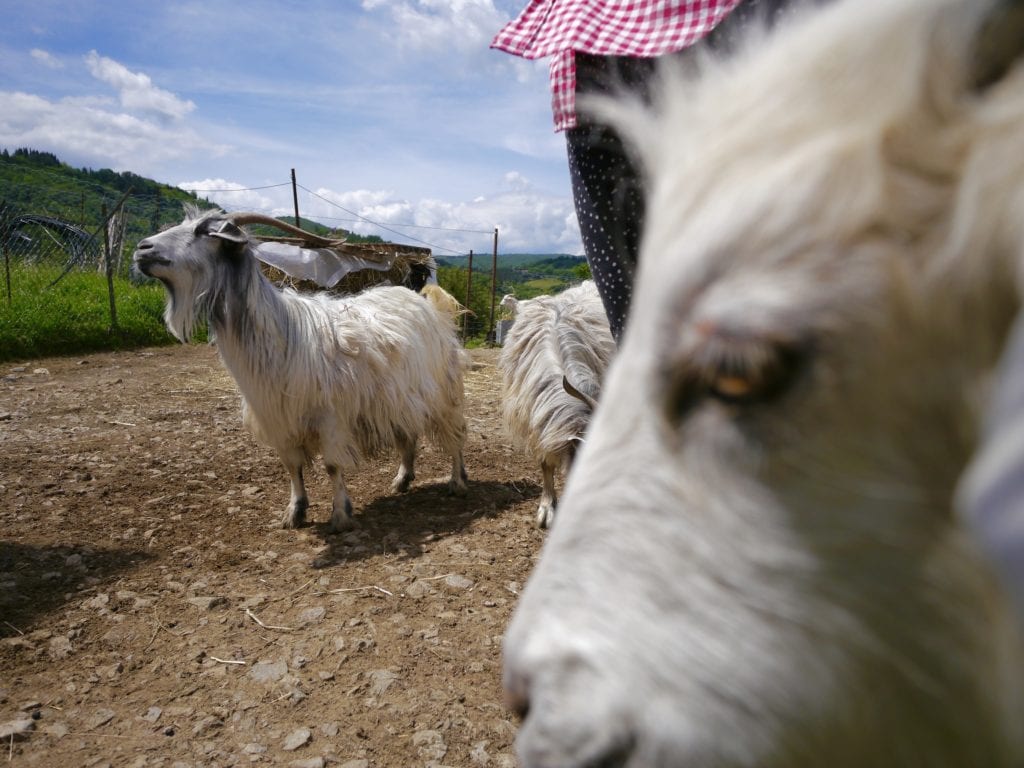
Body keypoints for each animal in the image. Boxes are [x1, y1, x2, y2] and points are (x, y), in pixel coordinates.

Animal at [133, 210, 468, 536]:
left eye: (204, 230)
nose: (141, 248)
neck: (282, 332)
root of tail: (427, 304)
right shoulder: (278, 419)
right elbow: (292, 467)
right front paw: (294, 511)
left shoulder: (330, 418)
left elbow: (332, 466)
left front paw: (340, 515)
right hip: (400, 399)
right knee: (407, 436)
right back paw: (402, 479)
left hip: (444, 392)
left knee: (455, 435)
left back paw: (457, 481)